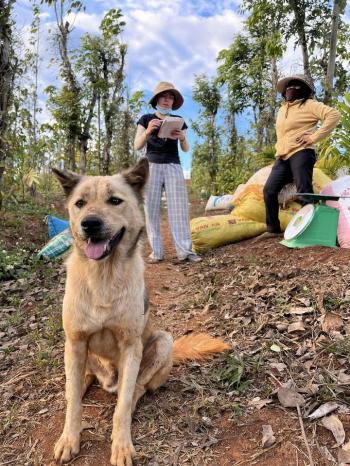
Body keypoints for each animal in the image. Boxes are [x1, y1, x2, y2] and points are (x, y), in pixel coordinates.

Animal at [51, 158, 227, 464]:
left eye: (114, 200)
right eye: (80, 203)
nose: (89, 224)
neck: (103, 277)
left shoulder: (130, 345)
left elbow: (122, 406)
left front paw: (121, 445)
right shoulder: (75, 342)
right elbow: (73, 403)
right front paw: (69, 439)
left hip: (162, 342)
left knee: (136, 389)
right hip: (79, 354)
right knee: (82, 381)